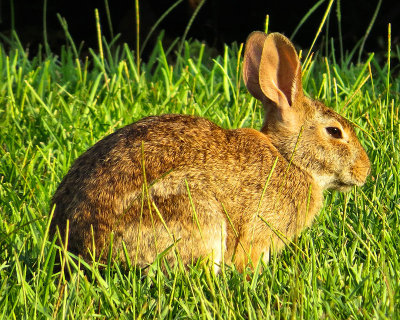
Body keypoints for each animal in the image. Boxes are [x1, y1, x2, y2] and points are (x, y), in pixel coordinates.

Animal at [50, 31, 372, 272]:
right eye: (334, 132)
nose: (365, 171)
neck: (288, 158)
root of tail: (79, 246)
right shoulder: (258, 231)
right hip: (191, 213)